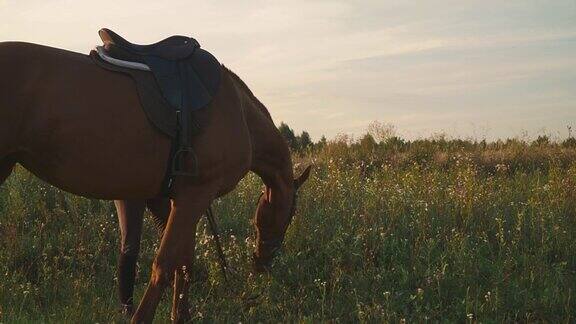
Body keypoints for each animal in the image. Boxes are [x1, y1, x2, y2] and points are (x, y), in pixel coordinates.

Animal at [0, 41, 310, 322]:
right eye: (290, 215)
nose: (262, 263)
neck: (240, 114)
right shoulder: (195, 196)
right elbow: (165, 263)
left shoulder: (177, 199)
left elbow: (184, 263)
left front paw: (180, 316)